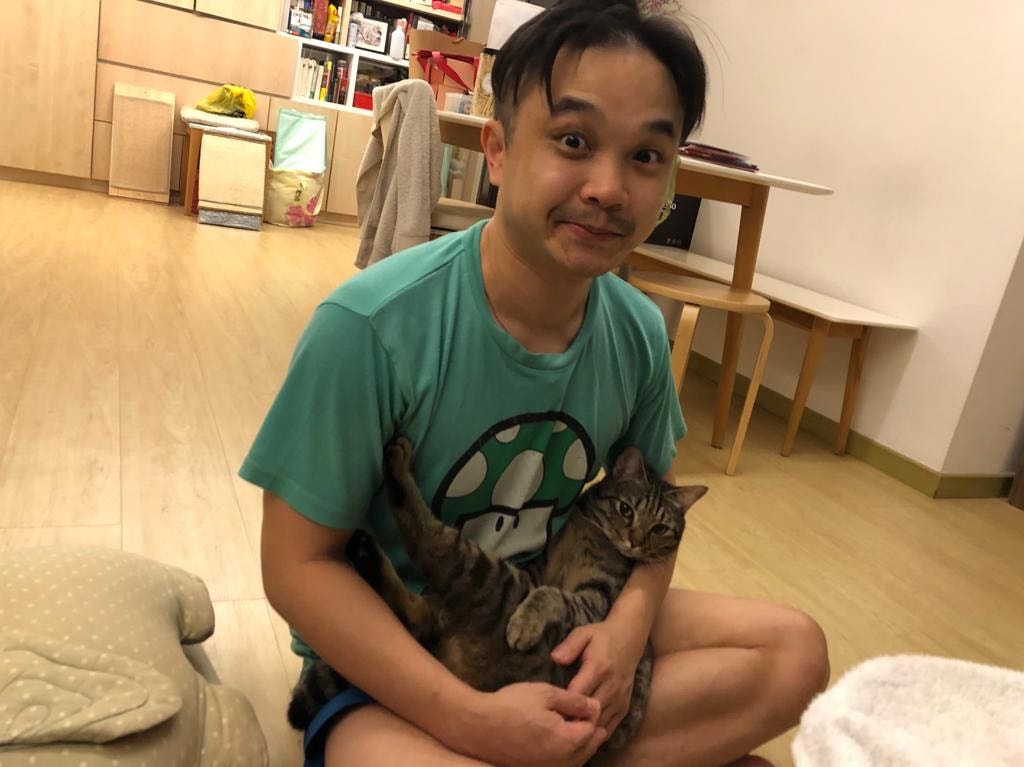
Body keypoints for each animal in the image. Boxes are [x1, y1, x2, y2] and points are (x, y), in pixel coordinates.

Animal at [288, 437, 707, 758]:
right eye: (625, 510)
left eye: (660, 529)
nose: (634, 543)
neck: (592, 537)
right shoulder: (537, 569)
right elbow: (549, 586)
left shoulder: (596, 600)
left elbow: (553, 595)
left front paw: (524, 624)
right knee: (418, 608)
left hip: (490, 577)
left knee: (433, 547)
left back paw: (394, 471)